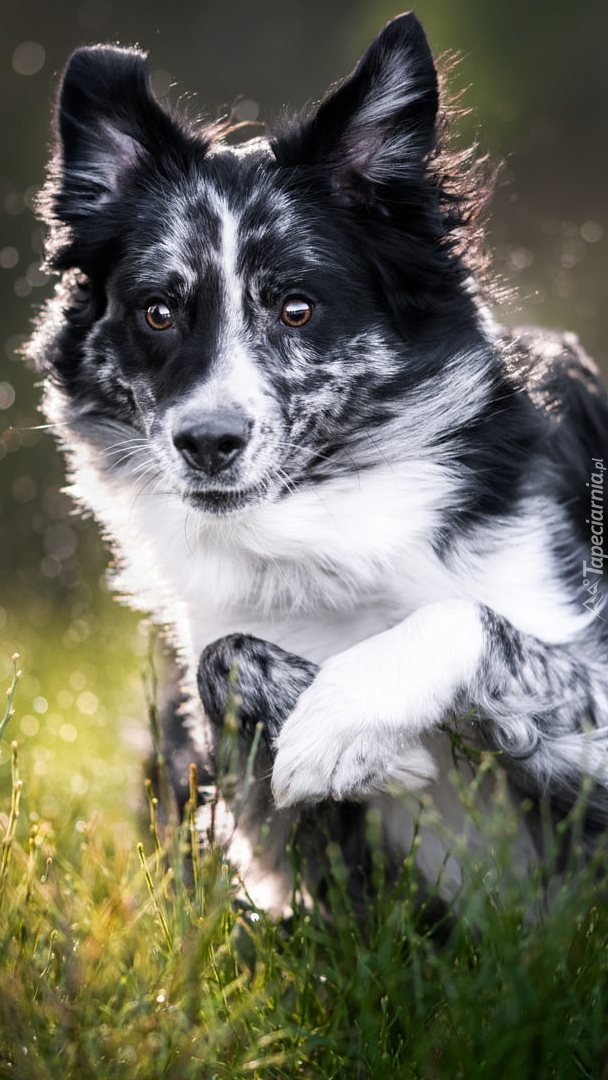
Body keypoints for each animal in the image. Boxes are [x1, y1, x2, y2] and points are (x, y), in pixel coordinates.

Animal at [27, 14, 608, 911]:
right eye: (157, 312)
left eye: (297, 308)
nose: (208, 442)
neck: (322, 521)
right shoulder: (268, 831)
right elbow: (222, 662)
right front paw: (370, 745)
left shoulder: (586, 708)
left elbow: (468, 616)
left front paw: (343, 721)